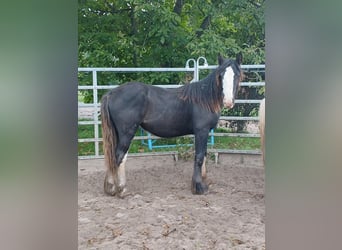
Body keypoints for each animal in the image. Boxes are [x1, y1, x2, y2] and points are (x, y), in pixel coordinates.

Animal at [99, 53, 243, 197]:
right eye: (221, 75)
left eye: (236, 75)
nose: (228, 101)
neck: (205, 98)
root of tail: (111, 94)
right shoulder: (201, 131)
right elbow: (199, 157)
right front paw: (198, 187)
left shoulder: (204, 133)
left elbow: (205, 155)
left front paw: (204, 182)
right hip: (127, 133)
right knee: (119, 156)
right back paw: (121, 189)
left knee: (114, 157)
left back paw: (112, 187)